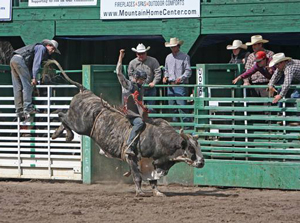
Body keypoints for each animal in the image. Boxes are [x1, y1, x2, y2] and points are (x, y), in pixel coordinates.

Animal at [49, 59, 204, 197]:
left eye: (199, 148)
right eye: (191, 149)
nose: (202, 162)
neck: (157, 138)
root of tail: (85, 91)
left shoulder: (151, 164)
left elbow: (153, 181)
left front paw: (158, 192)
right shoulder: (132, 157)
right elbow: (137, 177)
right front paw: (140, 192)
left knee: (63, 118)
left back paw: (62, 134)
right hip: (80, 124)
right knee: (62, 115)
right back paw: (60, 134)